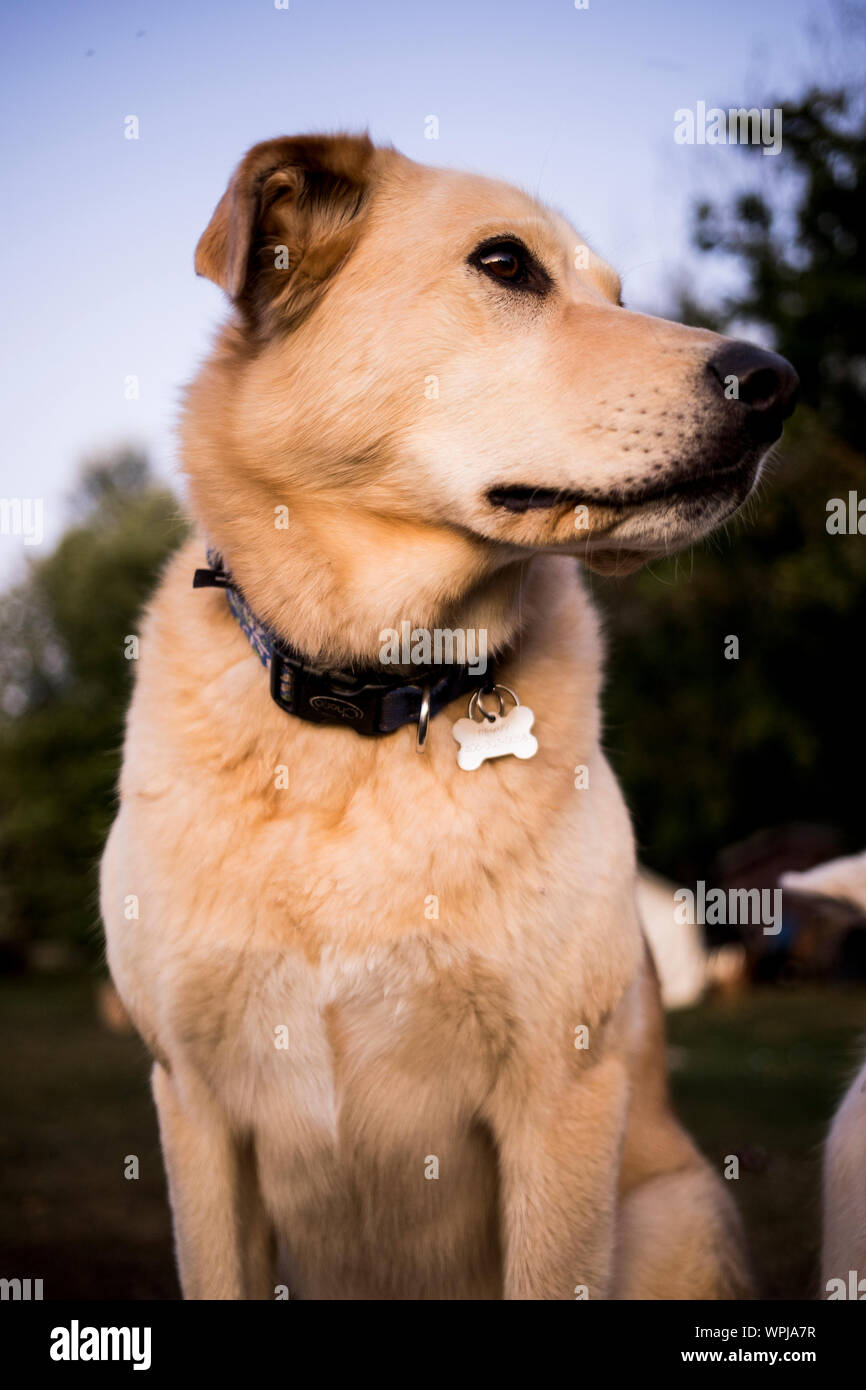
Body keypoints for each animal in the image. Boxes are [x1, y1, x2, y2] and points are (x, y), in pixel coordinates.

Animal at [101, 135, 800, 1295]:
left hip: (675, 1213)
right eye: (505, 263)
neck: (367, 702)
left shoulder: (561, 1100)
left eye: (618, 295)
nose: (776, 383)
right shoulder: (193, 1106)